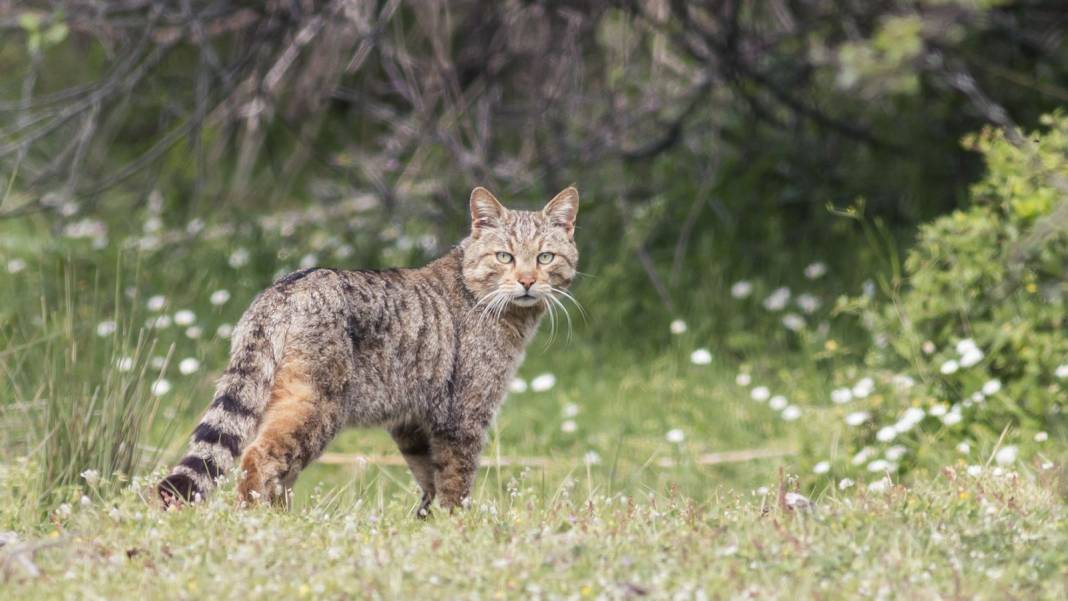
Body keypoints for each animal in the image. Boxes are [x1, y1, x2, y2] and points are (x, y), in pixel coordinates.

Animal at [154, 186, 580, 512]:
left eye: (545, 257)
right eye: (504, 256)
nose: (527, 281)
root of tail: (282, 290)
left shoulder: (412, 422)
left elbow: (429, 477)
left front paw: (427, 521)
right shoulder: (464, 416)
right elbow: (455, 481)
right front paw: (458, 524)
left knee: (280, 472)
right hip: (316, 404)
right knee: (259, 457)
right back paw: (255, 517)